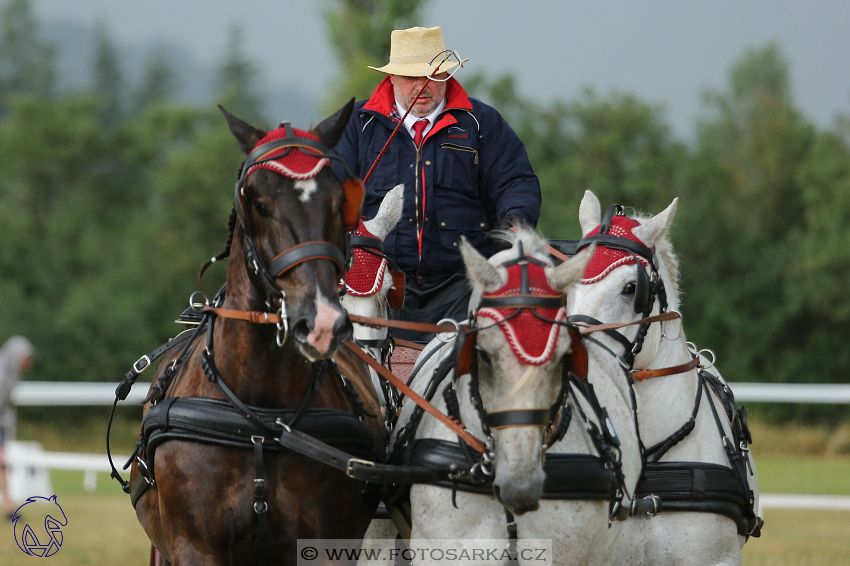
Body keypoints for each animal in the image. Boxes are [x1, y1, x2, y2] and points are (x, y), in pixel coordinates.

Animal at [129, 103, 384, 566]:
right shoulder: (195, 548)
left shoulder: (321, 545)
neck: (259, 417)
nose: (321, 322)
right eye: (259, 202)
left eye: (340, 201)